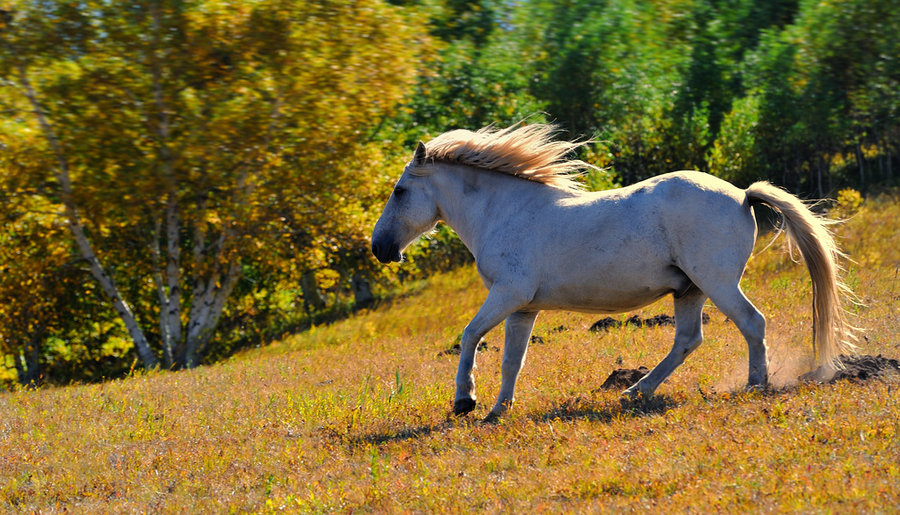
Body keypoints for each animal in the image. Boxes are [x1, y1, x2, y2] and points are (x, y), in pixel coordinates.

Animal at [372, 124, 856, 420]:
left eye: (399, 191)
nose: (380, 249)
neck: (504, 211)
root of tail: (741, 194)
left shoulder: (508, 294)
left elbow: (470, 335)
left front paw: (464, 401)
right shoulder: (523, 307)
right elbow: (512, 360)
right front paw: (497, 410)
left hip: (716, 282)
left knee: (752, 323)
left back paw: (755, 384)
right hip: (690, 290)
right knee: (687, 340)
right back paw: (635, 392)